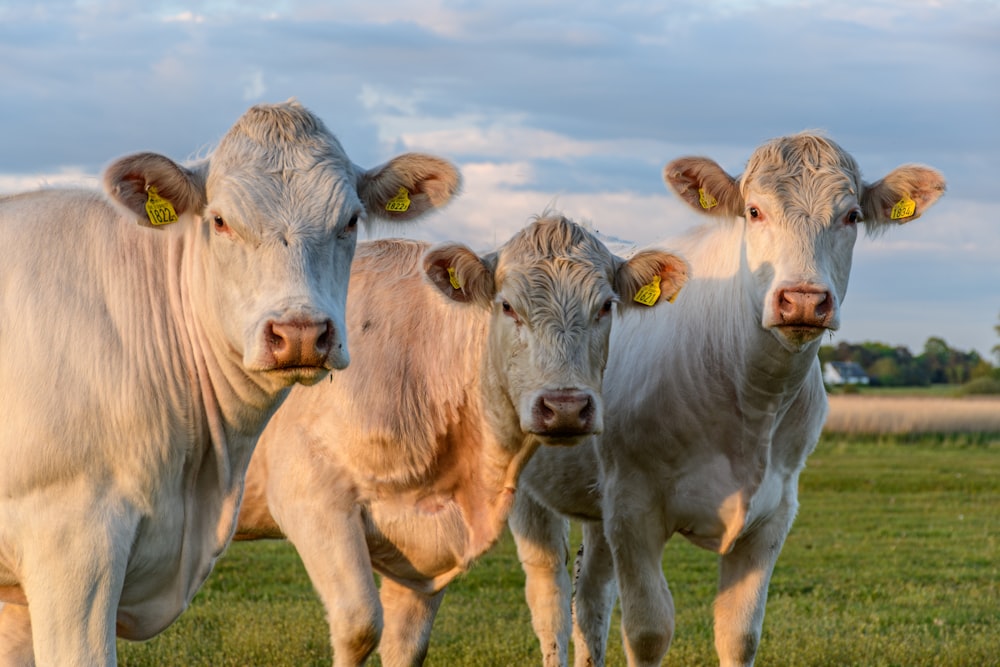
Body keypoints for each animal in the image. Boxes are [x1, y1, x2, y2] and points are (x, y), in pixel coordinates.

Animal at [233, 215, 688, 667]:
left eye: (606, 306)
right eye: (507, 306)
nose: (565, 407)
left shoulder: (423, 550)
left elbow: (406, 646)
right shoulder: (311, 499)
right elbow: (359, 628)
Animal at [508, 132, 944, 667]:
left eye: (852, 216)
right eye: (754, 211)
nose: (803, 299)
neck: (750, 403)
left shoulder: (773, 513)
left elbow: (739, 633)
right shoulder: (633, 507)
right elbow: (648, 630)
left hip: (597, 500)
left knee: (589, 593)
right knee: (548, 597)